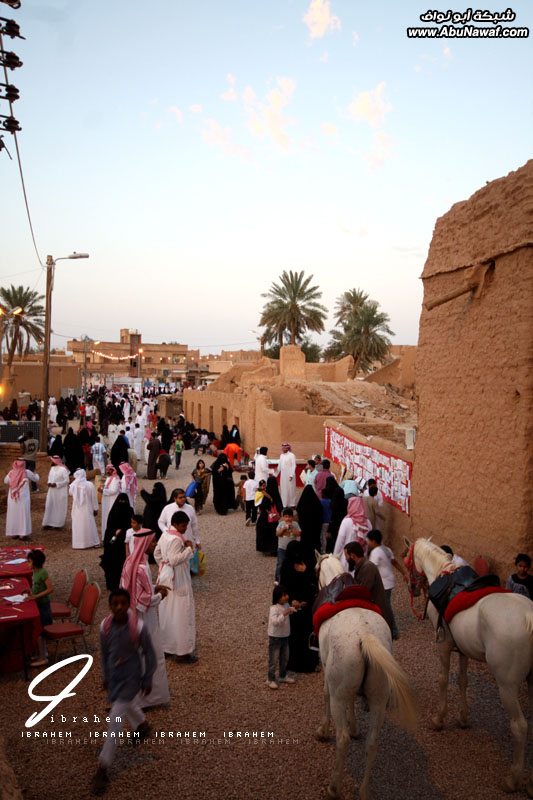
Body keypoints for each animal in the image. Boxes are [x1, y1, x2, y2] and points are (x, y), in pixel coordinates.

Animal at [404, 536, 532, 792]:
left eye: (407, 560)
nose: (413, 588)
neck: (442, 572)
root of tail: (528, 617)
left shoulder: (443, 644)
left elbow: (443, 680)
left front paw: (439, 719)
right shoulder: (462, 646)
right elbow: (462, 681)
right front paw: (463, 719)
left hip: (507, 685)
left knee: (519, 727)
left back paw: (513, 779)